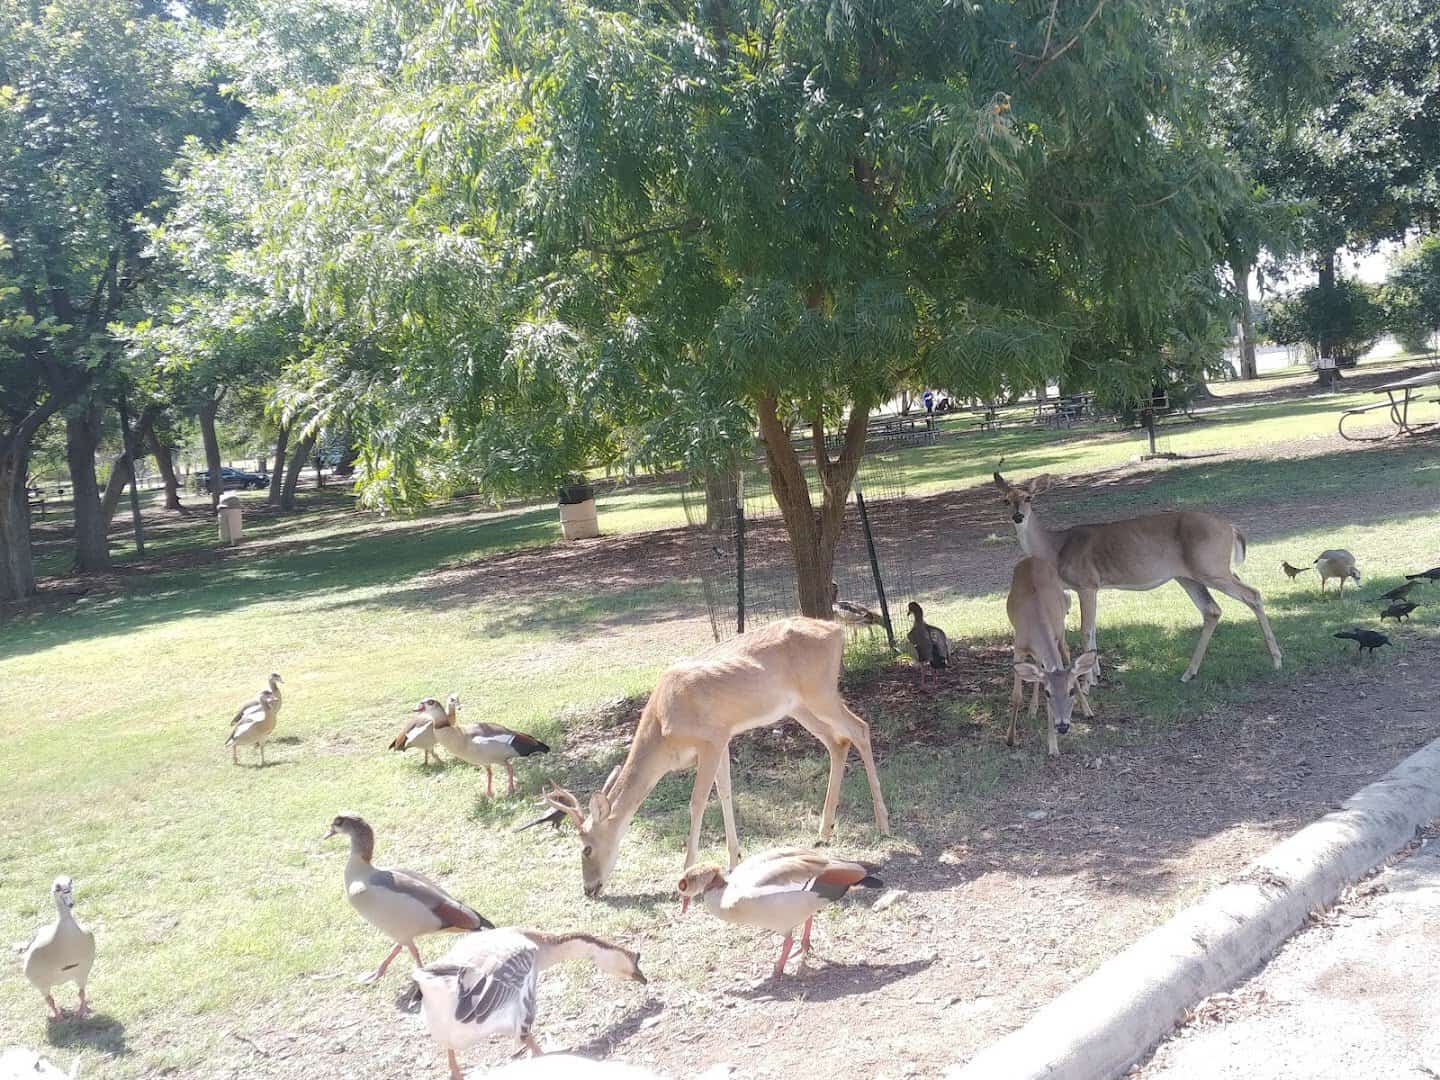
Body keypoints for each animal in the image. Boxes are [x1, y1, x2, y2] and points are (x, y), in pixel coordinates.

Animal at [536, 617, 890, 898]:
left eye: (586, 847)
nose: (589, 889)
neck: (663, 727)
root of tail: (836, 630)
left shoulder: (711, 738)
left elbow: (697, 802)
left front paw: (685, 874)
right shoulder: (723, 739)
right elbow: (725, 793)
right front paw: (735, 860)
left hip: (821, 692)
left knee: (859, 729)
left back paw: (883, 824)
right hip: (799, 706)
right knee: (837, 741)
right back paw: (823, 832)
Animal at [992, 464, 1282, 684]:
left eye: (1029, 498)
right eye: (1005, 500)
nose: (1018, 517)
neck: (1056, 548)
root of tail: (1232, 528)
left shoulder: (1087, 583)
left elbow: (1086, 630)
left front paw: (1089, 679)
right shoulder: (1089, 587)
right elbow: (1093, 630)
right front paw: (1096, 672)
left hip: (1212, 568)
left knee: (1252, 594)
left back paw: (1277, 660)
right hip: (1189, 575)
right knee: (1212, 610)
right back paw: (1188, 672)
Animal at [1006, 556, 1098, 757]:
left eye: (1071, 691)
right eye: (1048, 693)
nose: (1063, 726)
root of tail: (1032, 557)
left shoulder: (1057, 634)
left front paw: (1053, 747)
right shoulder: (1018, 647)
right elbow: (1016, 696)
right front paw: (1010, 738)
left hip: (1061, 629)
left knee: (1064, 654)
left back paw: (1087, 710)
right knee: (1037, 670)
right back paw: (1032, 709)